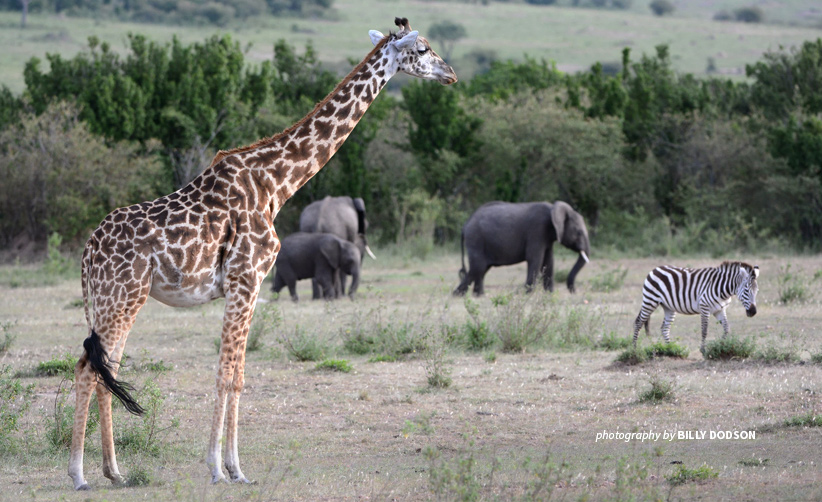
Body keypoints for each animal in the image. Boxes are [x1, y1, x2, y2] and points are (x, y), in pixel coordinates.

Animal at [68, 17, 458, 492]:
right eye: (422, 49)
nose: (451, 75)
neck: (275, 183)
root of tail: (88, 250)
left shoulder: (249, 286)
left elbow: (238, 375)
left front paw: (235, 468)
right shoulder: (245, 280)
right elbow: (226, 375)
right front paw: (220, 468)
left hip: (117, 301)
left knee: (106, 367)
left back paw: (114, 471)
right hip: (120, 297)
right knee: (88, 368)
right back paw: (79, 475)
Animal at [450, 199, 592, 294]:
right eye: (579, 232)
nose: (573, 291)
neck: (553, 208)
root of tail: (465, 225)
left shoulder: (547, 237)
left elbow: (549, 261)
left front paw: (549, 294)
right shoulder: (537, 230)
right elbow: (536, 259)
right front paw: (527, 294)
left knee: (481, 268)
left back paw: (477, 295)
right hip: (476, 238)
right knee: (478, 267)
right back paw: (458, 295)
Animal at [636, 260, 764, 354]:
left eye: (757, 291)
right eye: (746, 291)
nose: (753, 312)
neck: (723, 289)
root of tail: (655, 269)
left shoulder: (720, 309)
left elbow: (727, 328)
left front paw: (722, 346)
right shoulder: (704, 307)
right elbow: (704, 330)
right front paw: (703, 350)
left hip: (668, 307)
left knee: (664, 328)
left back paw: (670, 349)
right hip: (650, 300)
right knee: (639, 322)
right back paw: (634, 349)